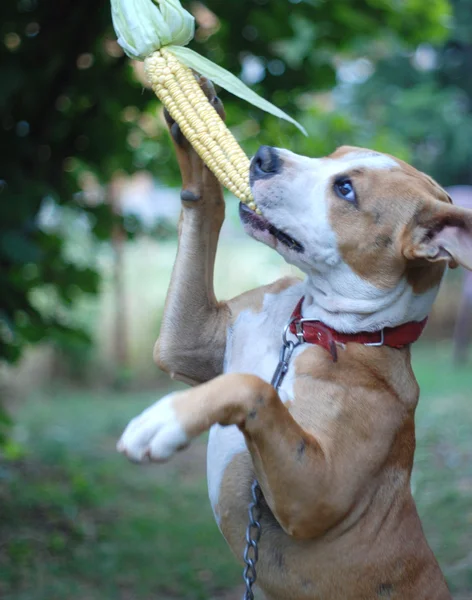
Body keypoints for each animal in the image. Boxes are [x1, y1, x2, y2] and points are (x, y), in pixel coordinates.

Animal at [117, 81, 472, 600]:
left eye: (345, 189)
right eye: (332, 155)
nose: (264, 156)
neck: (312, 329)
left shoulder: (314, 495)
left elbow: (253, 387)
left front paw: (168, 418)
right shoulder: (188, 340)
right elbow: (206, 206)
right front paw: (195, 121)